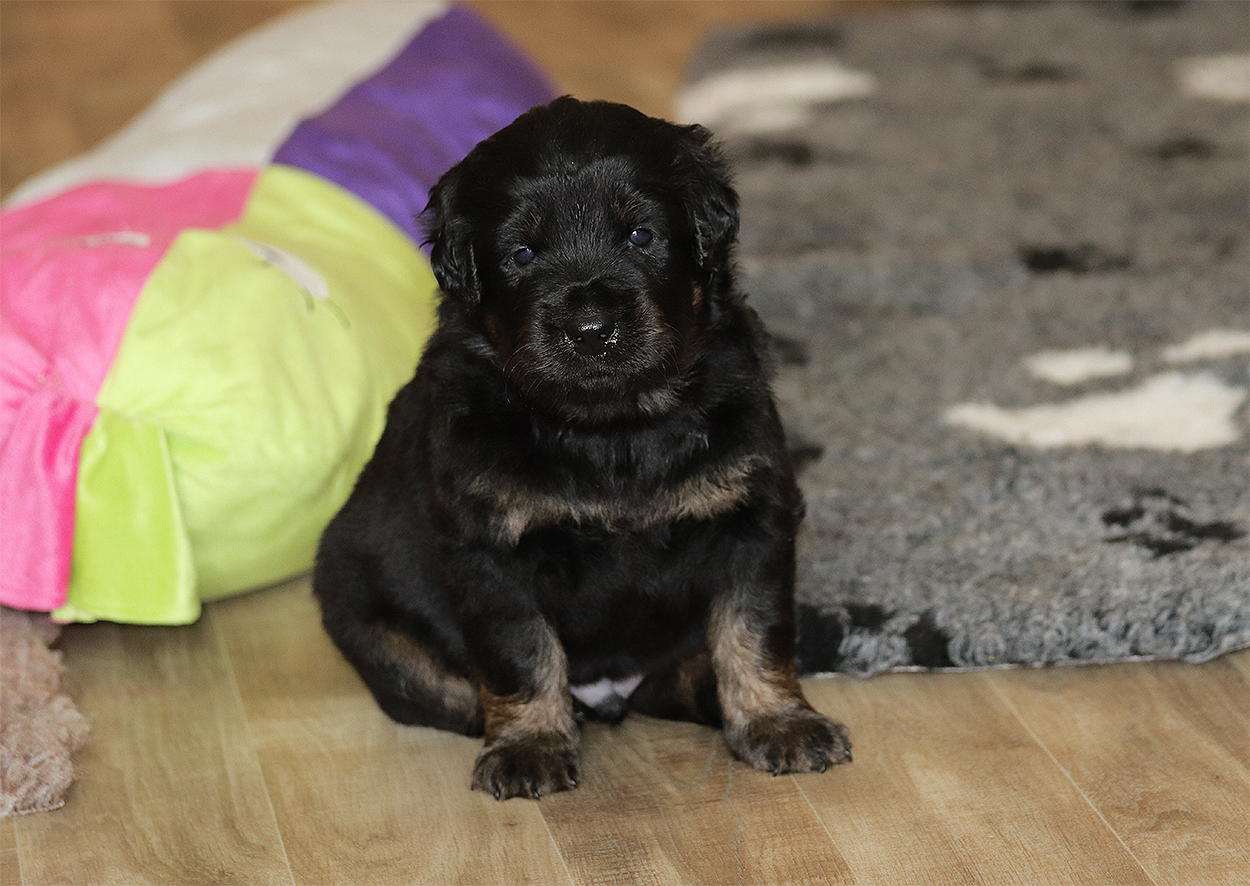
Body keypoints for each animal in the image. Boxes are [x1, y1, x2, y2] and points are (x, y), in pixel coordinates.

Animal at [313, 97, 851, 800]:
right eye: (520, 253)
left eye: (640, 236)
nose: (591, 330)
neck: (613, 429)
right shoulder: (489, 548)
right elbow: (521, 651)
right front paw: (529, 746)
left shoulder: (752, 515)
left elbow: (754, 630)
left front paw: (778, 721)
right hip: (360, 611)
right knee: (449, 687)